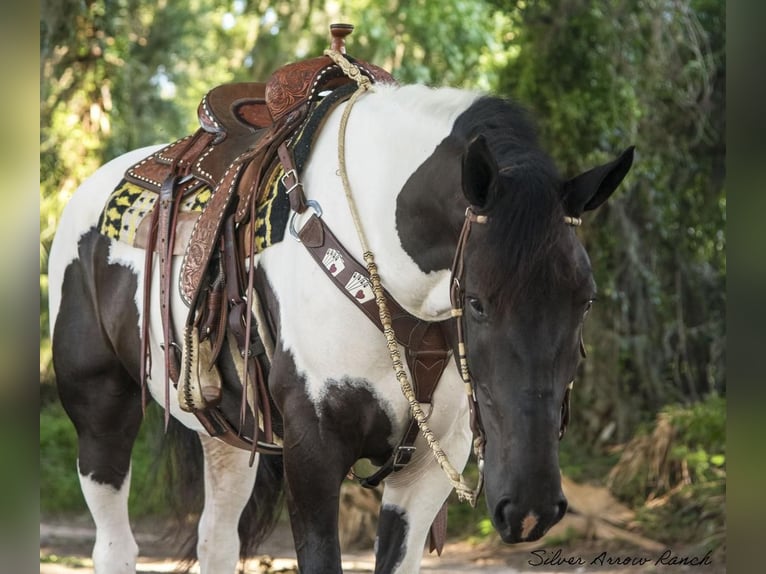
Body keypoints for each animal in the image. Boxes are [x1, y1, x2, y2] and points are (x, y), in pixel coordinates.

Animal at [46, 77, 636, 574]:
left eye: (585, 301)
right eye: (476, 303)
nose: (531, 508)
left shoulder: (428, 467)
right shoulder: (313, 452)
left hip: (227, 438)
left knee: (216, 540)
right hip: (101, 414)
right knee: (115, 545)